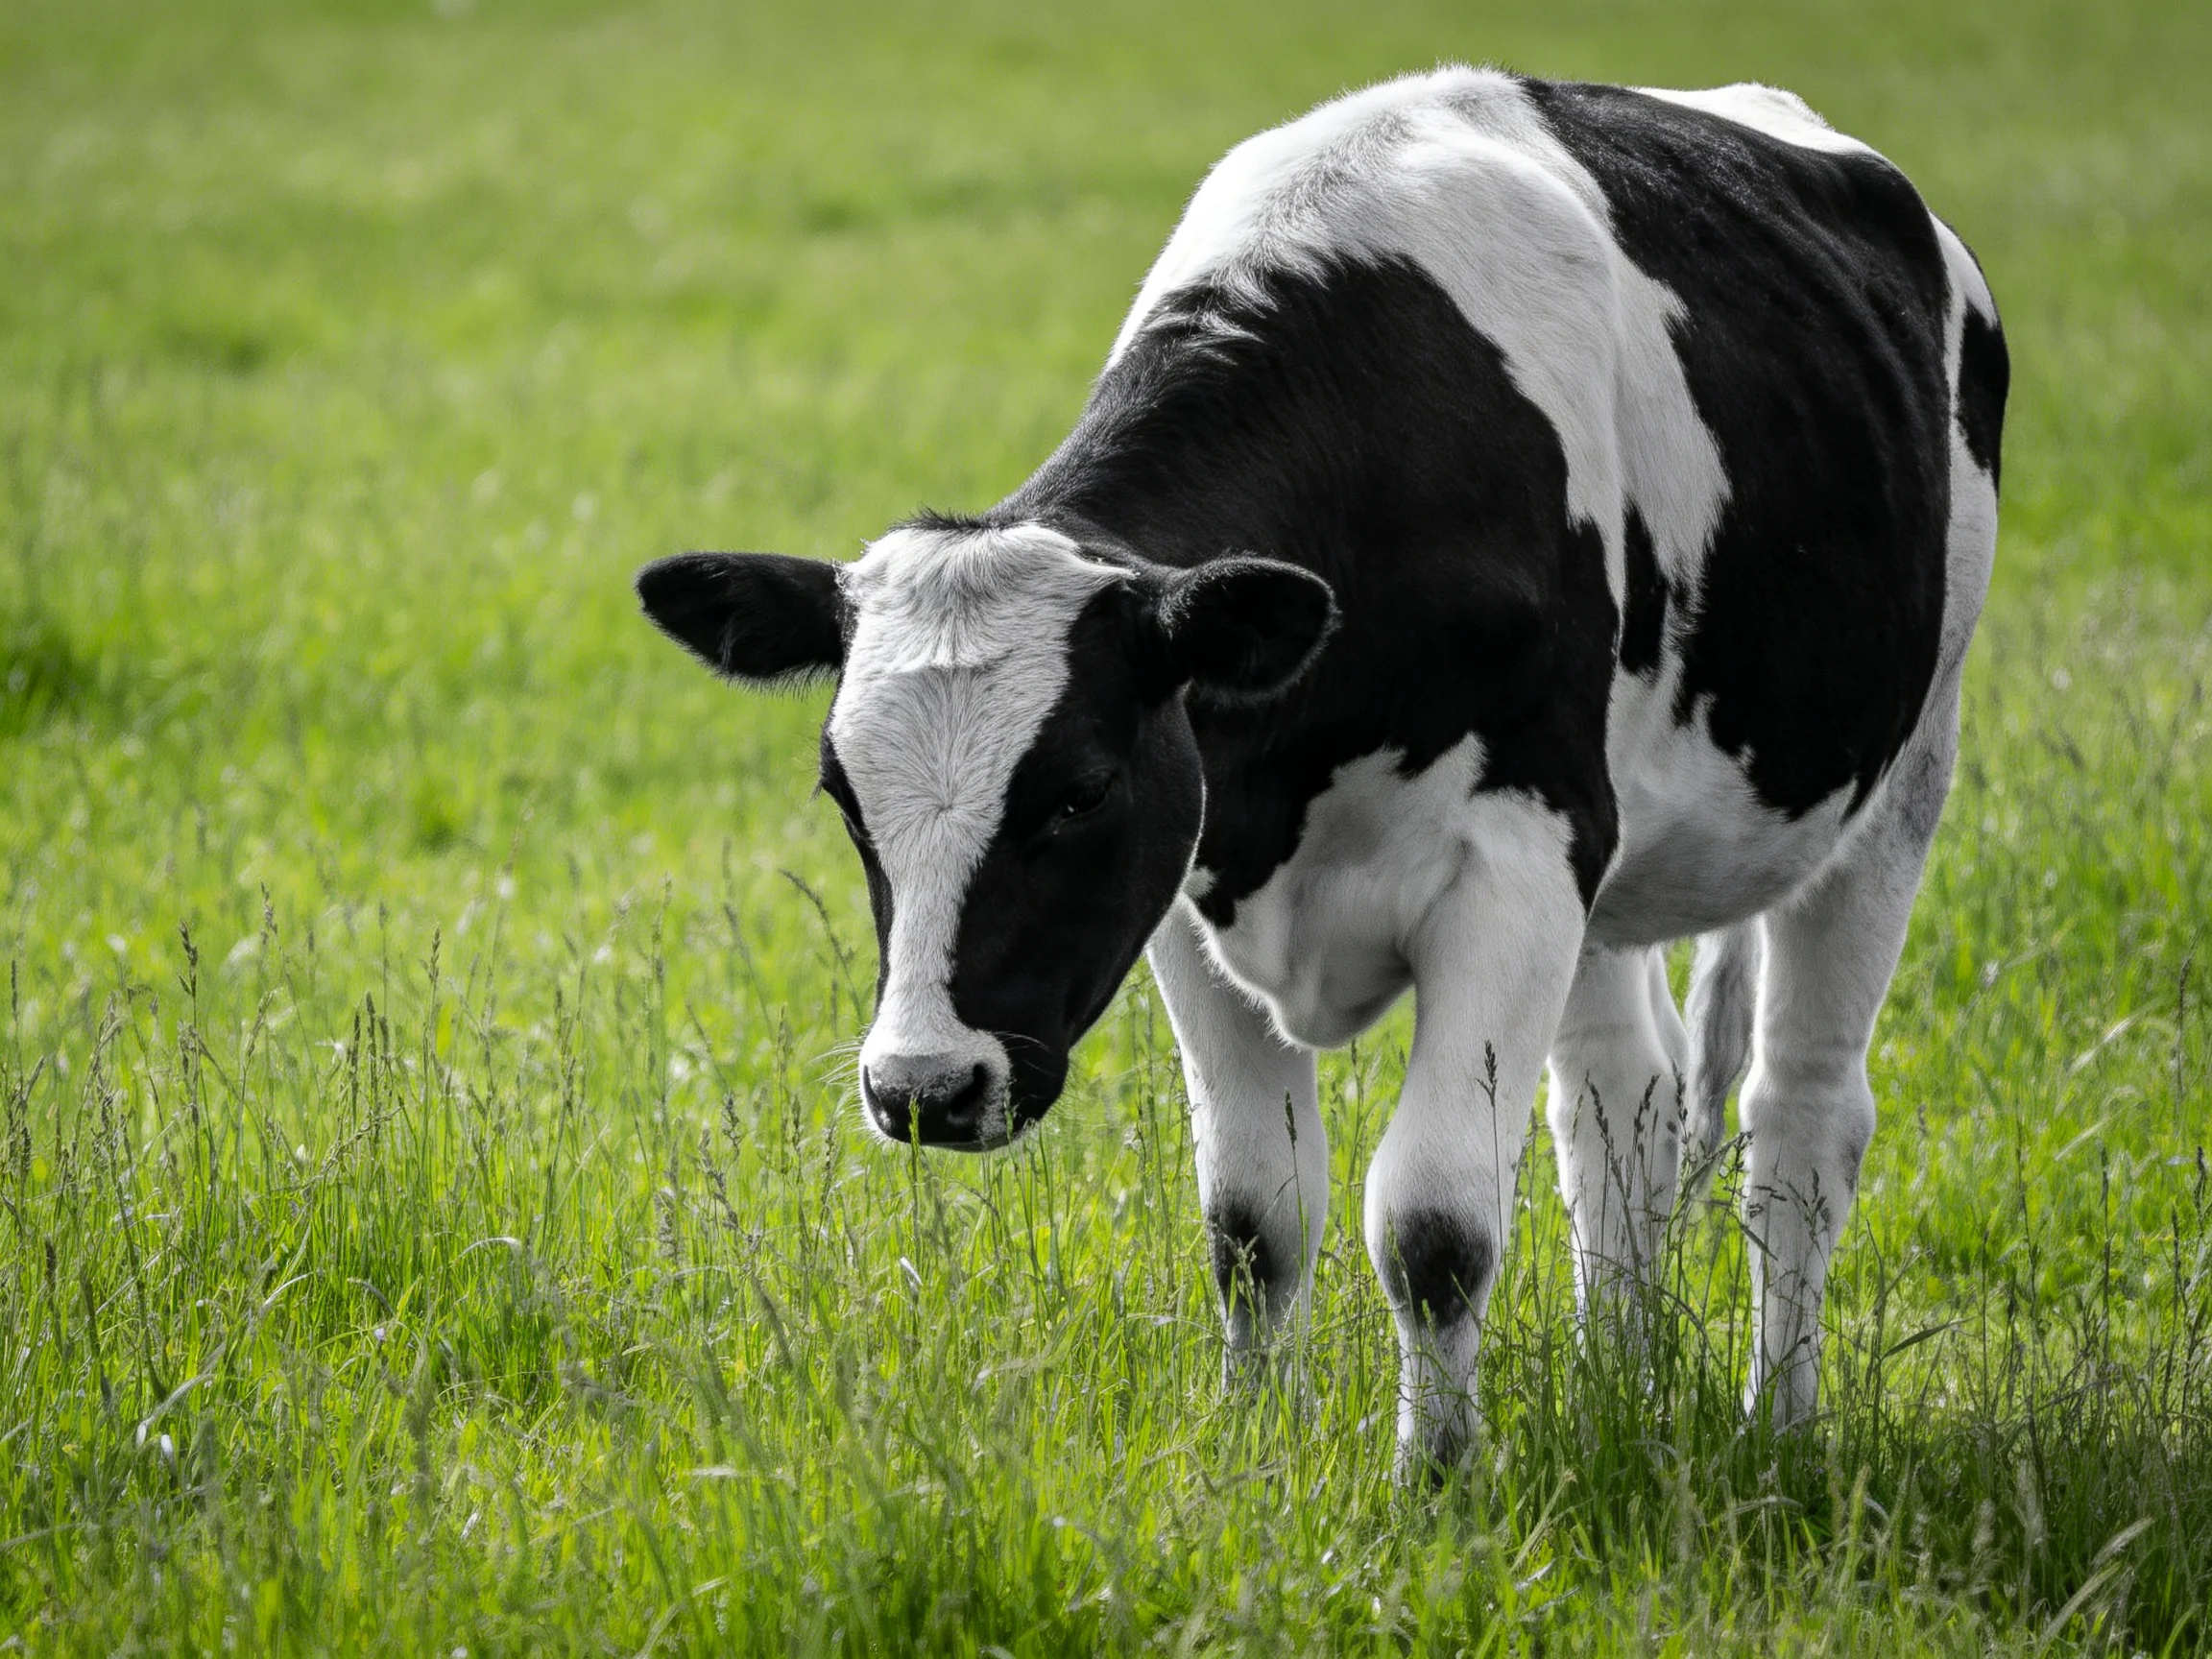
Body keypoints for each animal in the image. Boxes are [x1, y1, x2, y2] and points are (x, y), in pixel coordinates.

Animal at [635, 67, 2007, 1471]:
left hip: (1902, 773)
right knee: (1624, 1098)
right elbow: (1255, 1216)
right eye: (844, 797)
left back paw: (1777, 1420)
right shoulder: (1194, 883)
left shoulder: (1516, 858)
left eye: (1080, 791)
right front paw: (1250, 1450)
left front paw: (1434, 1481)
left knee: (1800, 1120)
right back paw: (1615, 1388)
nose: (922, 1087)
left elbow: (1436, 1223)